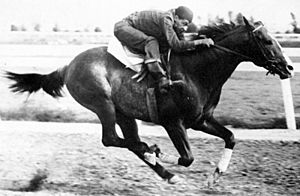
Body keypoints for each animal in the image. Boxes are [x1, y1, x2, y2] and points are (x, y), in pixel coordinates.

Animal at [4, 17, 292, 187]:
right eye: (267, 40)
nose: (289, 67)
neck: (196, 70)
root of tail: (67, 66)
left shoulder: (200, 120)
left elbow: (230, 137)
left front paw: (216, 175)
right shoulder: (173, 122)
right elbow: (187, 158)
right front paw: (163, 154)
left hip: (124, 113)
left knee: (128, 141)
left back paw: (161, 165)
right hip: (103, 104)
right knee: (112, 139)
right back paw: (153, 152)